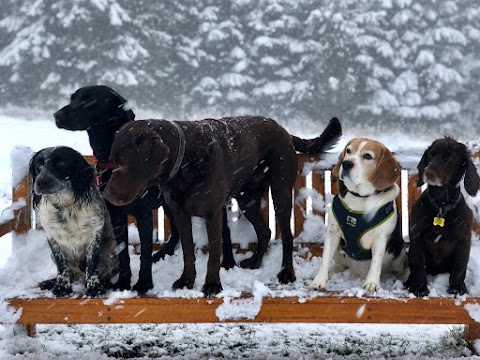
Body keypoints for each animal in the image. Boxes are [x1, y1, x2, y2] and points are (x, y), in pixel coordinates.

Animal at [29, 145, 118, 296]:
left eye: (61, 162)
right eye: (38, 165)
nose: (40, 182)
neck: (64, 206)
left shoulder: (94, 234)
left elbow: (92, 264)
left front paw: (94, 287)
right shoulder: (52, 238)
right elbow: (61, 266)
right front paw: (62, 287)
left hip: (111, 247)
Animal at [310, 138, 406, 292]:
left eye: (367, 156)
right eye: (348, 151)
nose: (346, 163)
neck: (360, 197)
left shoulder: (381, 238)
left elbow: (376, 263)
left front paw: (372, 283)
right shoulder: (333, 233)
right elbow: (325, 259)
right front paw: (319, 281)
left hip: (398, 253)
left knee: (400, 269)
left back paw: (402, 278)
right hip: (339, 252)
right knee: (340, 265)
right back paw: (332, 271)